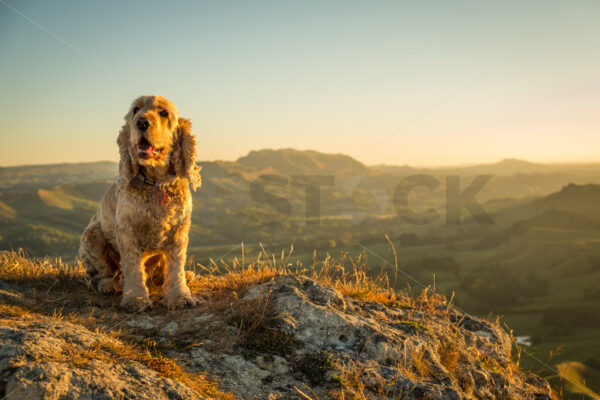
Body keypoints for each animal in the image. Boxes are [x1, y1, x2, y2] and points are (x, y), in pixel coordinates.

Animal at [78, 95, 202, 310]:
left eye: (164, 113)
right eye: (135, 110)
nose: (142, 122)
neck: (155, 183)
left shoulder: (179, 231)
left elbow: (176, 266)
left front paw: (180, 296)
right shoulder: (127, 232)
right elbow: (133, 268)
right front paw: (136, 299)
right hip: (92, 235)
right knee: (104, 272)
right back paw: (110, 284)